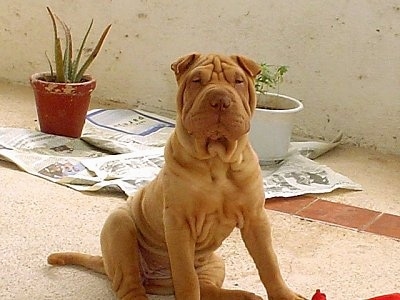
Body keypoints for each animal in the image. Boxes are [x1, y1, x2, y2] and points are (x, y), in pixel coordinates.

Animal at [47, 54, 306, 300]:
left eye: (239, 81)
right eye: (197, 80)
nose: (220, 100)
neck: (216, 161)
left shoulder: (255, 218)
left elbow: (269, 263)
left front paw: (285, 295)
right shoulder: (179, 224)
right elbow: (187, 277)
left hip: (215, 262)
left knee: (207, 288)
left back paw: (244, 295)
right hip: (119, 229)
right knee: (131, 286)